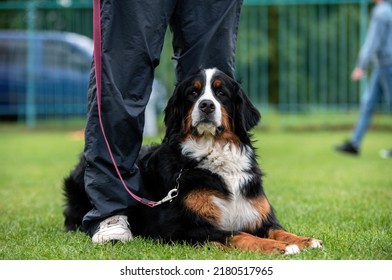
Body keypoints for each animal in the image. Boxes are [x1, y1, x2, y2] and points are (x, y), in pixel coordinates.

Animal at [63, 67, 322, 254]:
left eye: (221, 93)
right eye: (193, 93)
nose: (206, 105)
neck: (213, 153)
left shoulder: (259, 215)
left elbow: (278, 230)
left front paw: (304, 240)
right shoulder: (178, 227)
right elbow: (235, 234)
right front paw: (277, 247)